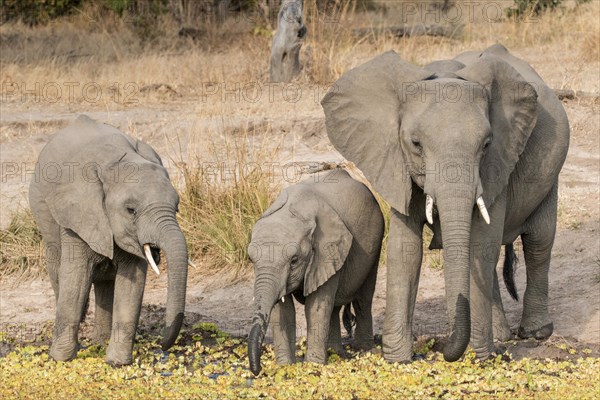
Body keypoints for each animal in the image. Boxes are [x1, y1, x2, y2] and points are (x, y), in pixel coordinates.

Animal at [29, 115, 191, 366]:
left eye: (177, 207)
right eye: (131, 210)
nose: (163, 345)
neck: (115, 163)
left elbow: (132, 284)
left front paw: (117, 363)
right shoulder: (79, 214)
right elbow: (76, 278)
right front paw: (60, 360)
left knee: (105, 282)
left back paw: (100, 342)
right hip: (45, 218)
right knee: (58, 268)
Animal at [247, 169, 384, 376]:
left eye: (294, 261)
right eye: (251, 260)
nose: (258, 370)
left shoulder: (326, 251)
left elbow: (315, 307)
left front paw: (312, 367)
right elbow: (282, 311)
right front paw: (286, 367)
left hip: (375, 243)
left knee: (363, 299)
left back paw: (364, 350)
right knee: (334, 306)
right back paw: (336, 353)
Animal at [322, 43, 568, 362]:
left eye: (486, 145)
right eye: (416, 144)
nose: (444, 350)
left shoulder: (497, 164)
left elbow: (482, 244)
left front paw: (481, 356)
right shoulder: (395, 163)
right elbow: (405, 249)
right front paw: (398, 360)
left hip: (551, 174)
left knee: (539, 241)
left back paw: (535, 333)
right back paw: (502, 336)